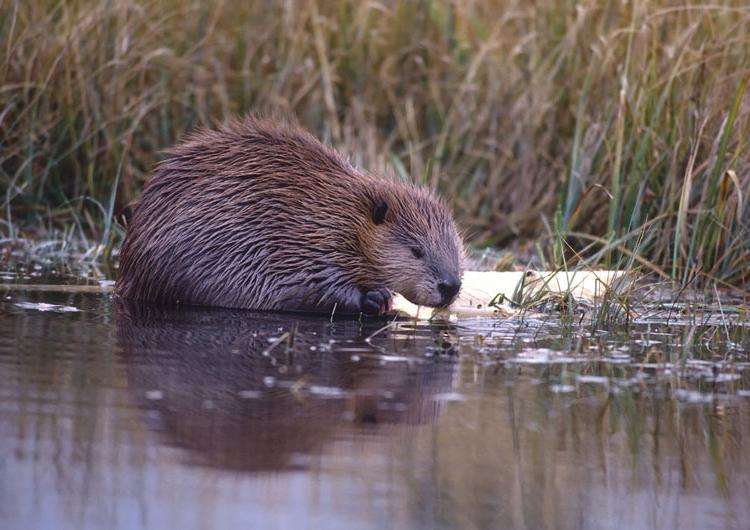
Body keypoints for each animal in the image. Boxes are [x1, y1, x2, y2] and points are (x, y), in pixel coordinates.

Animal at [117, 116, 464, 314]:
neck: (336, 215)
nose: (450, 286)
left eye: (457, 251)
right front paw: (375, 298)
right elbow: (308, 285)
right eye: (417, 251)